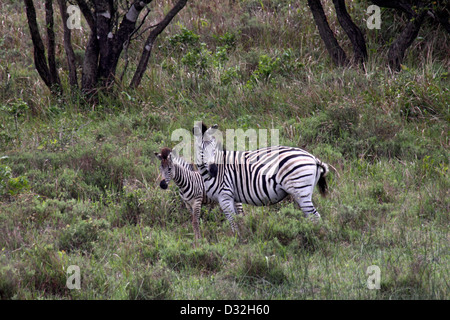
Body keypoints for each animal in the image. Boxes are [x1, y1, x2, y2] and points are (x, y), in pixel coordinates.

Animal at [192, 124, 328, 234]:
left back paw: (316, 236)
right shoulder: (233, 197)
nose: (214, 170)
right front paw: (244, 237)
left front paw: (237, 240)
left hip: (300, 190)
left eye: (214, 149)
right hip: (303, 192)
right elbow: (239, 219)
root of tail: (313, 158)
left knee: (315, 217)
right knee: (312, 217)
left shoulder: (224, 196)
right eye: (201, 149)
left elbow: (233, 221)